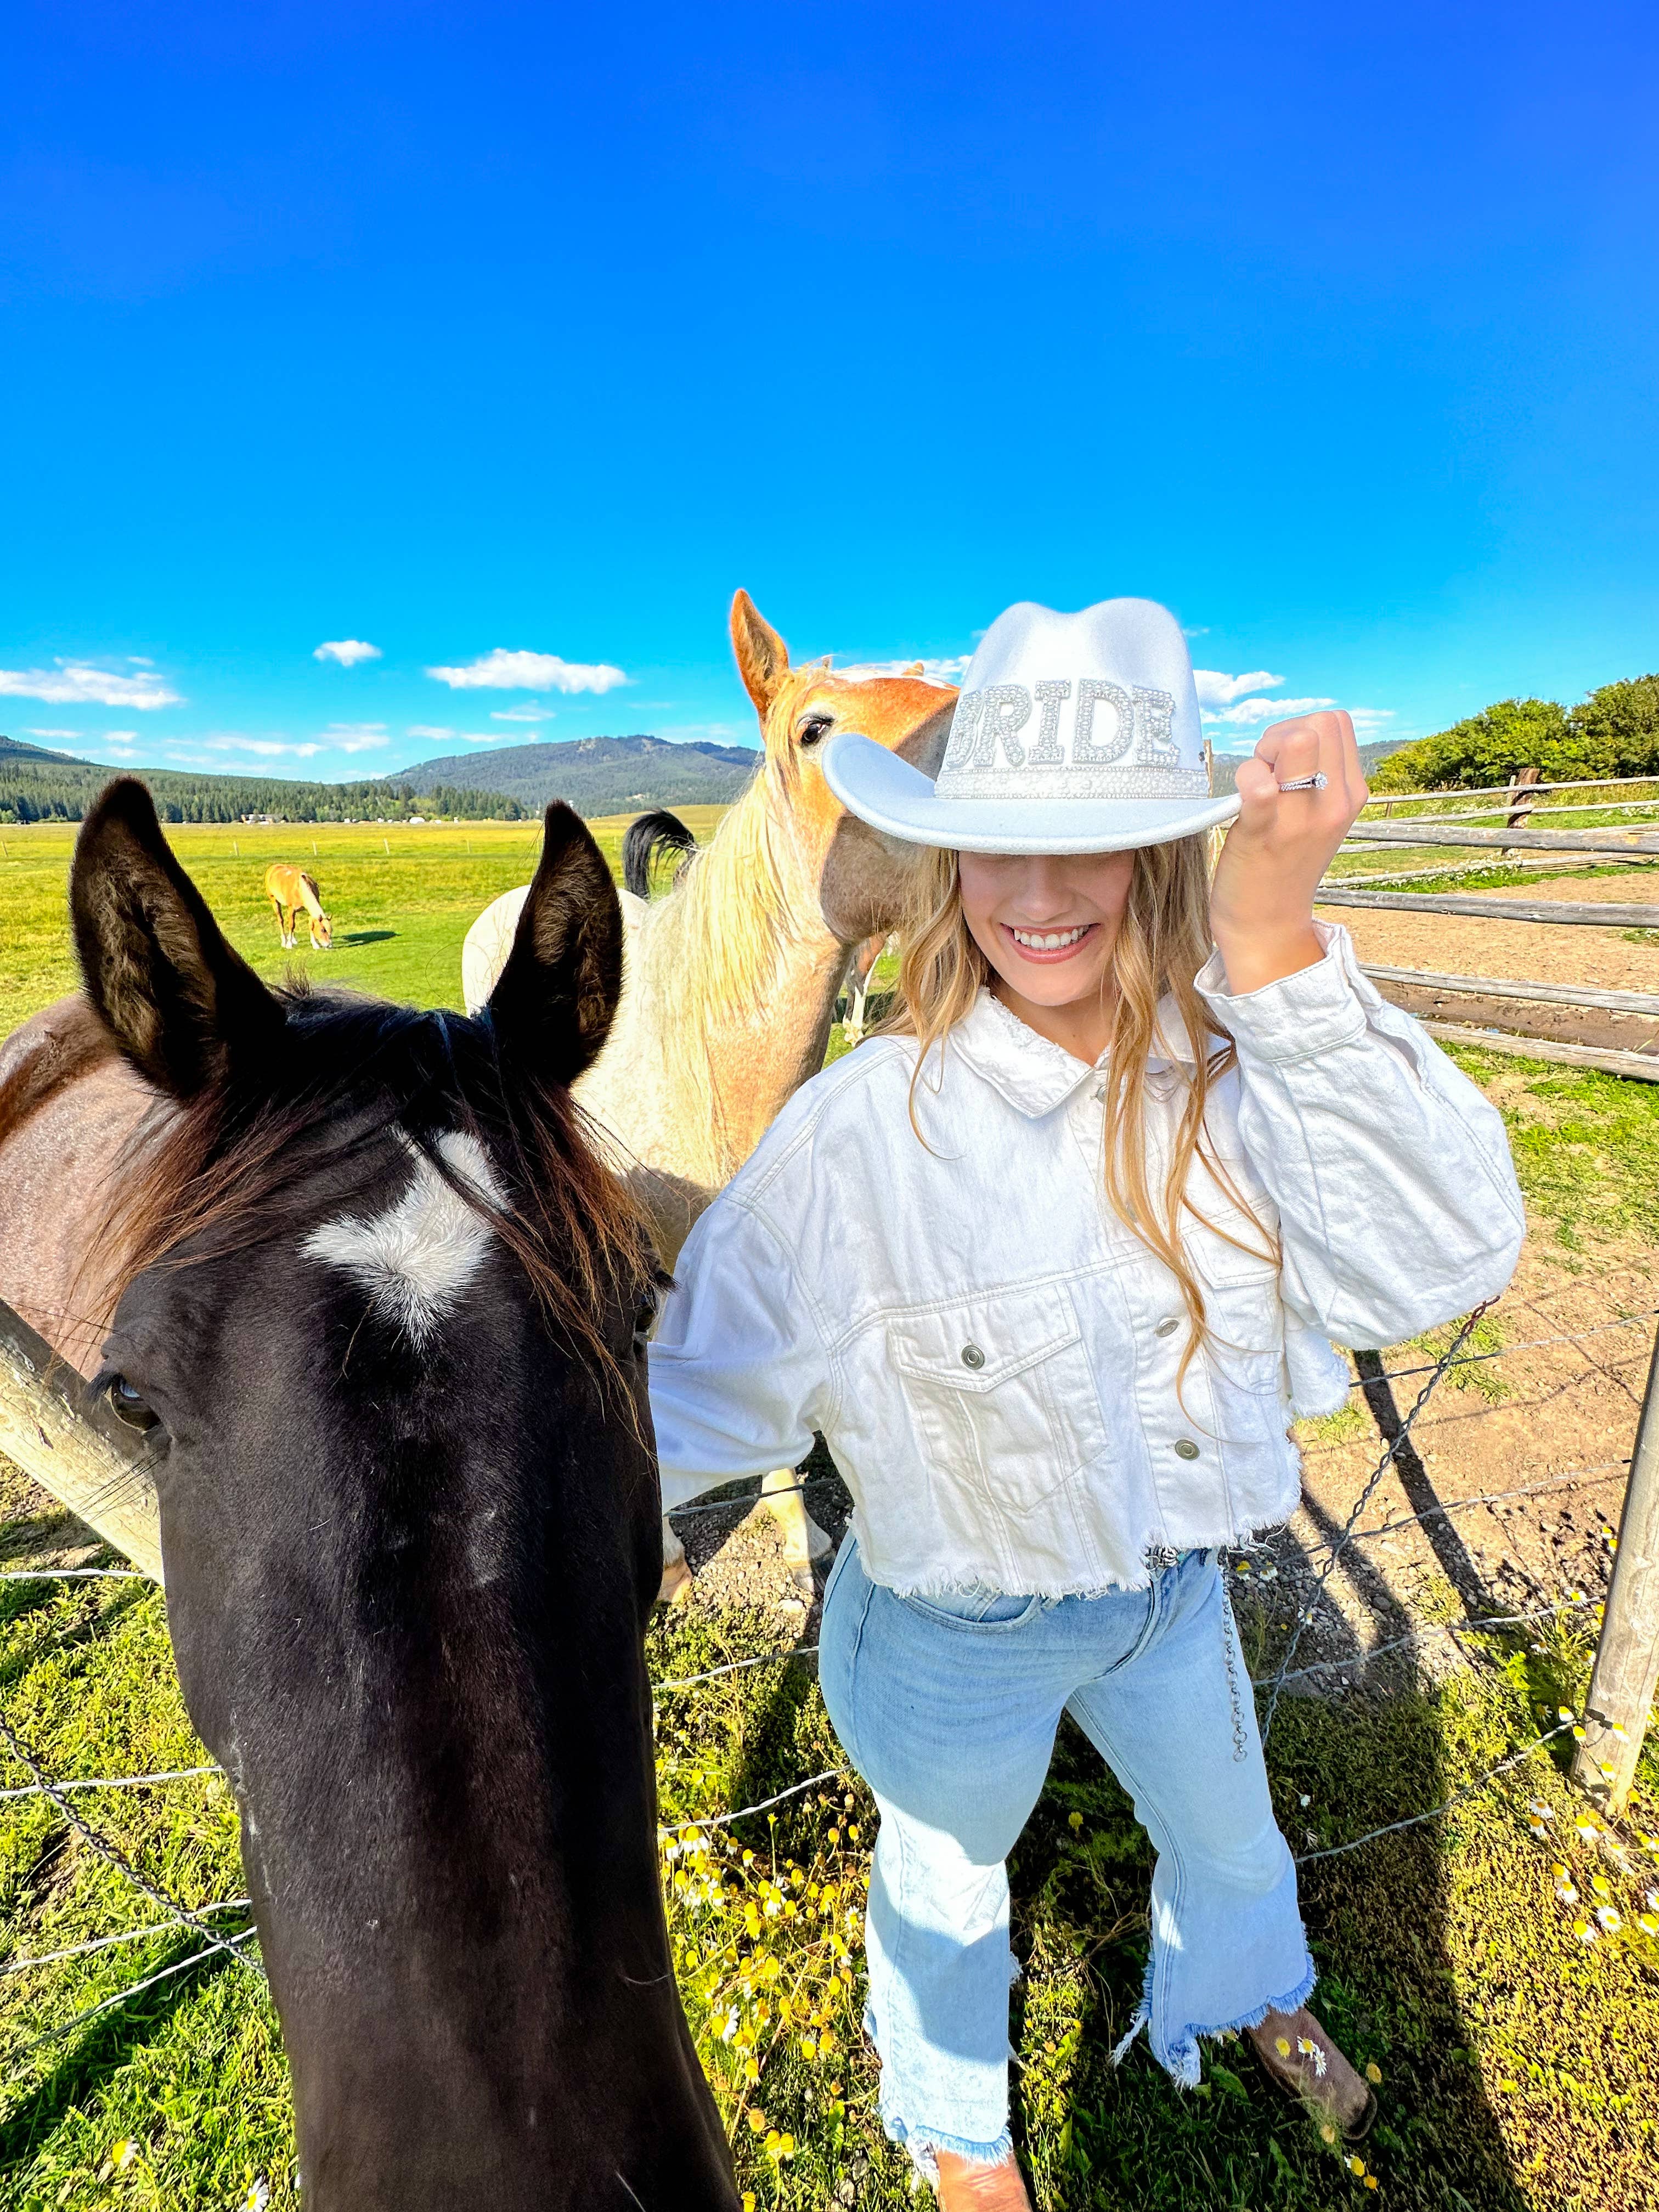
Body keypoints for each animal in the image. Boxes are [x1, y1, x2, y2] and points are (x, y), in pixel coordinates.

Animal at [263, 862, 331, 951]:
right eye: (323, 930)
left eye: (331, 930)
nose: (329, 945)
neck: (301, 887)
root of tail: (273, 867)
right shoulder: (291, 909)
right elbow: (291, 925)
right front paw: (289, 944)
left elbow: (310, 924)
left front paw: (315, 944)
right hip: (274, 901)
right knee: (281, 920)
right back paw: (284, 941)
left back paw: (293, 940)